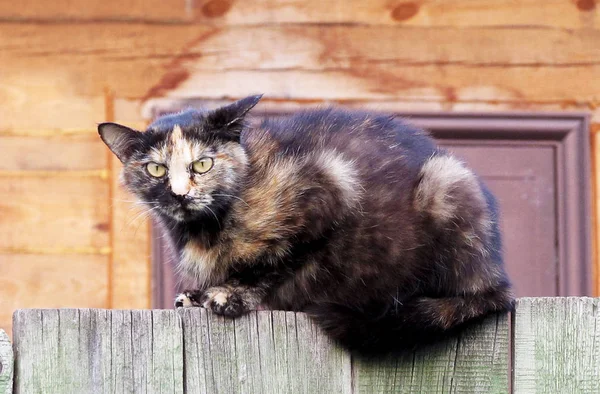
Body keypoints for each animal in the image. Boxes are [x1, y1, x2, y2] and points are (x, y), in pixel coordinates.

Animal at [99, 95, 516, 354]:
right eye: (156, 169)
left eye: (203, 164)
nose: (180, 194)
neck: (205, 227)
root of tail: (498, 276)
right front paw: (197, 294)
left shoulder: (330, 188)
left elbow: (277, 262)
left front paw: (230, 295)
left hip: (444, 184)